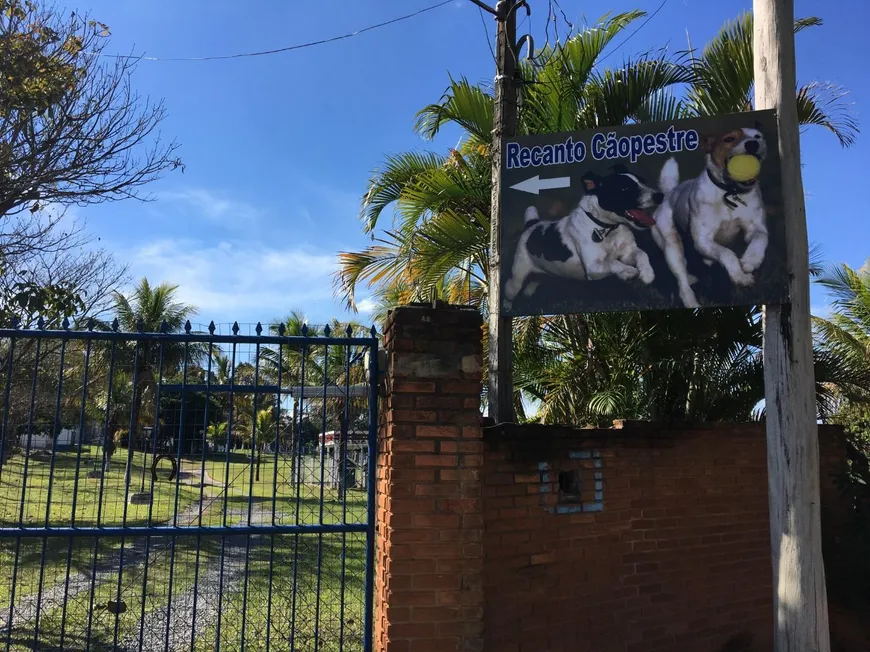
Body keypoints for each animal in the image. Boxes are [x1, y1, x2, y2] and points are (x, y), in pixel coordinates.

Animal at [504, 167, 660, 312]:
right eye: (624, 188)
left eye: (644, 182)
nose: (659, 195)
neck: (606, 228)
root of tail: (532, 224)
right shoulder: (593, 267)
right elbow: (612, 262)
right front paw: (628, 271)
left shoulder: (627, 253)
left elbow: (642, 254)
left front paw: (647, 273)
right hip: (517, 278)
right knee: (510, 291)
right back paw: (507, 307)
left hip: (539, 277)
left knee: (529, 289)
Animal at [656, 125, 768, 300]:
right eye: (729, 139)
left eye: (757, 136)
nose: (752, 144)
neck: (729, 192)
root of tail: (670, 193)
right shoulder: (703, 240)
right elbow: (727, 254)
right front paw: (739, 276)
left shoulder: (755, 228)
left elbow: (760, 239)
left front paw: (751, 260)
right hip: (672, 248)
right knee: (682, 283)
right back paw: (691, 300)